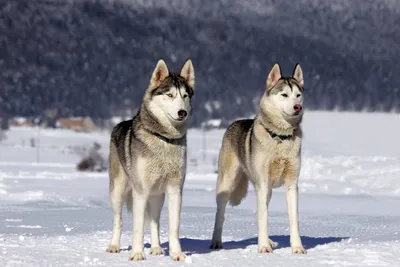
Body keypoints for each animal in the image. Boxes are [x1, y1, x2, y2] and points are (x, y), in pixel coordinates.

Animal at [105, 58, 195, 262]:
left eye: (185, 96)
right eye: (170, 95)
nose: (182, 113)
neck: (164, 138)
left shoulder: (175, 190)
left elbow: (173, 227)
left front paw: (177, 254)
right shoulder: (141, 192)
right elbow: (137, 227)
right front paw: (137, 254)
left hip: (157, 197)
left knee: (154, 221)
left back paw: (156, 248)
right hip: (118, 191)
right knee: (118, 220)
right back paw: (114, 246)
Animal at [209, 62, 306, 255]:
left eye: (298, 96)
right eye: (284, 95)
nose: (297, 107)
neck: (280, 138)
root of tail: (234, 122)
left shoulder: (291, 184)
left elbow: (293, 219)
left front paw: (297, 248)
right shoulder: (263, 181)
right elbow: (263, 217)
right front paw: (263, 247)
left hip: (266, 191)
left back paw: (269, 241)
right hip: (227, 184)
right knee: (220, 215)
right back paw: (217, 242)